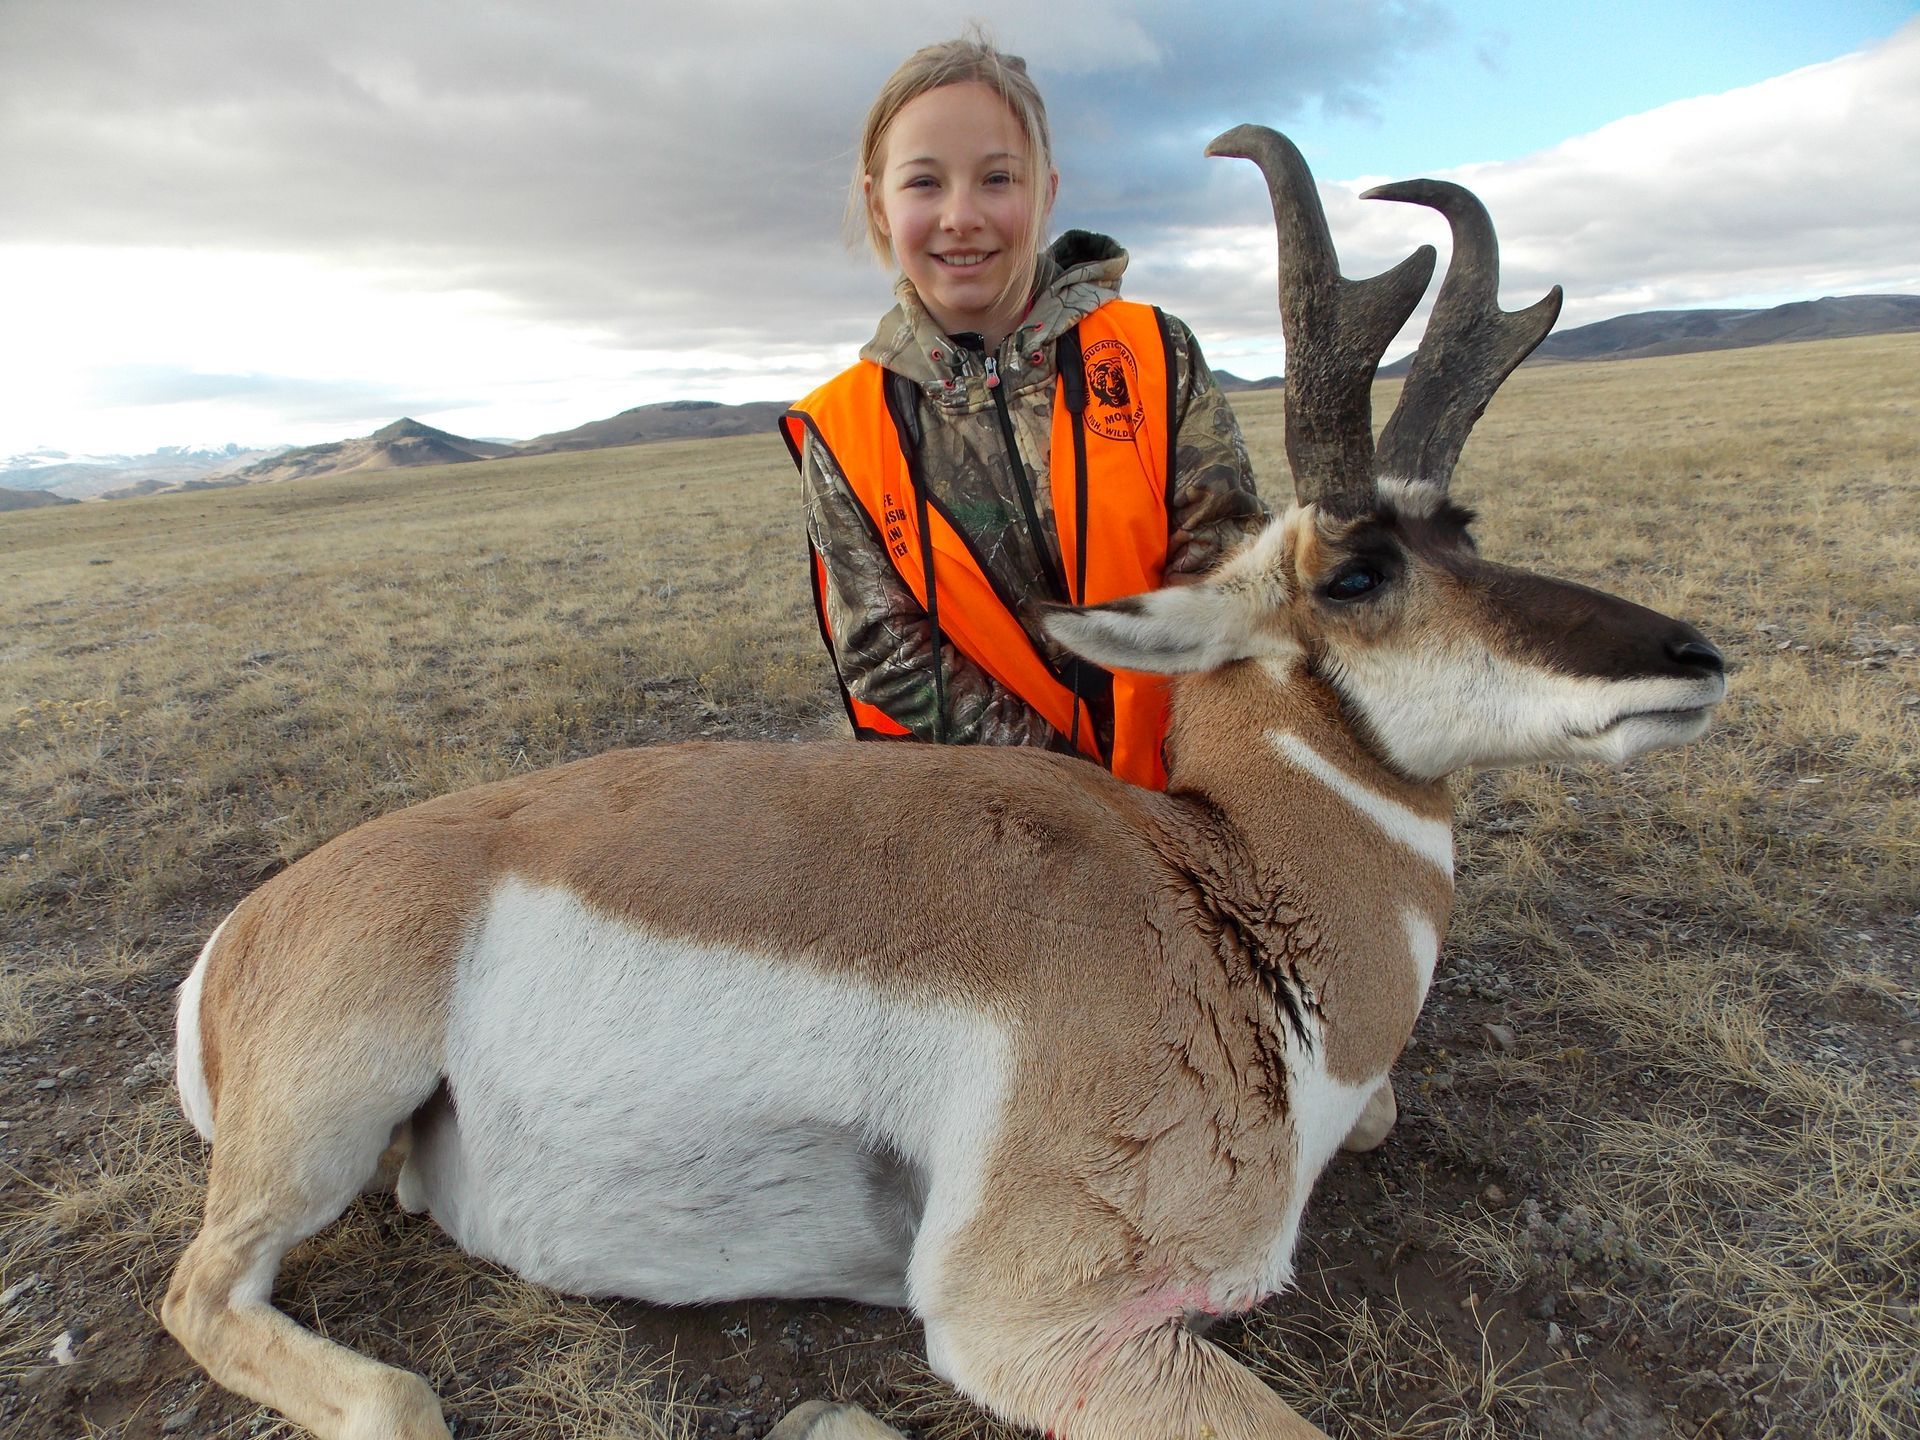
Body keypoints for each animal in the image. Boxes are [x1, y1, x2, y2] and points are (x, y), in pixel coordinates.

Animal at [163, 127, 1726, 1440]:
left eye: (1466, 525)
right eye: (1355, 573)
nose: (1693, 654)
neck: (1230, 883)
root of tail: (246, 929)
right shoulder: (1037, 1327)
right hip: (321, 1128)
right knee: (258, 1324)